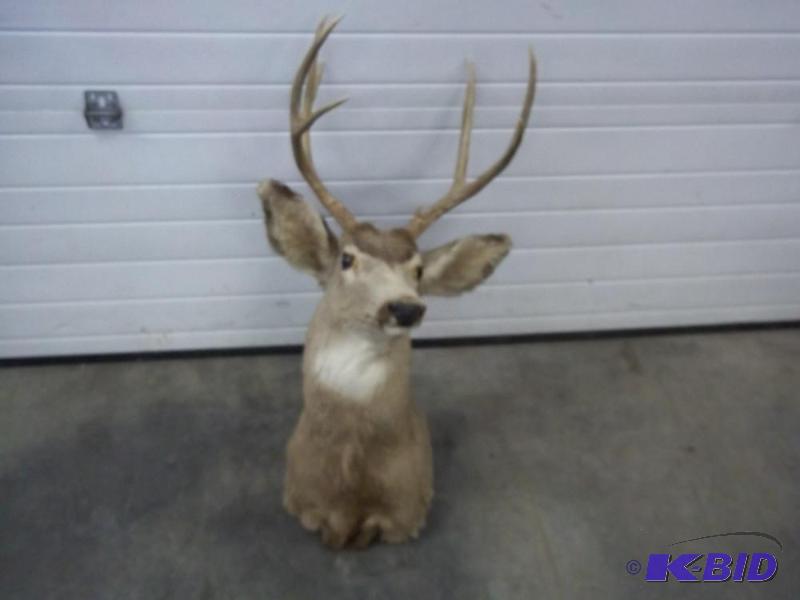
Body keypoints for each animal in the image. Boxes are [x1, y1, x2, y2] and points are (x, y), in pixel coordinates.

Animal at [257, 16, 537, 549]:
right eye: (346, 259)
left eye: (419, 270)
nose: (405, 306)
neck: (350, 481)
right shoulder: (298, 498)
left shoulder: (408, 510)